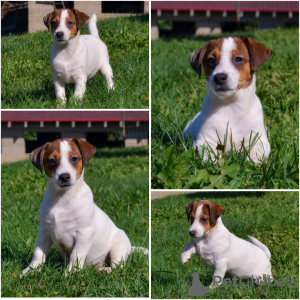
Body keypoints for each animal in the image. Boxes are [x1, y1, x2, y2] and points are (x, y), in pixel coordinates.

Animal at [21, 138, 132, 276]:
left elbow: (76, 255)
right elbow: (38, 253)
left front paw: (70, 273)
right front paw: (31, 270)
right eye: (52, 160)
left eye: (74, 158)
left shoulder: (84, 233)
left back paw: (106, 269)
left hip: (119, 247)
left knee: (118, 267)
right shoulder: (44, 231)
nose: (64, 176)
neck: (62, 199)